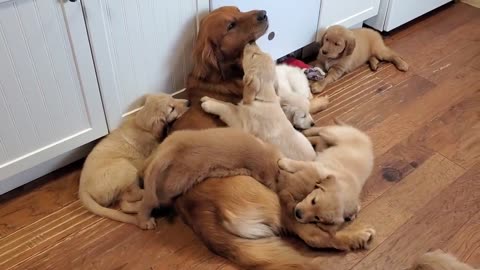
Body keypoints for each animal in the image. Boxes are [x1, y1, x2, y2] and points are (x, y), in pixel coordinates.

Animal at [79, 94, 189, 225]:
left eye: (173, 97)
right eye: (171, 109)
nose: (189, 102)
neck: (141, 125)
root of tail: (82, 189)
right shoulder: (153, 149)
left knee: (124, 204)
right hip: (126, 168)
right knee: (134, 195)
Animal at [135, 127, 284, 229]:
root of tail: (172, 149)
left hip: (163, 150)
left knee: (145, 168)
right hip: (173, 185)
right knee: (148, 202)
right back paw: (145, 221)